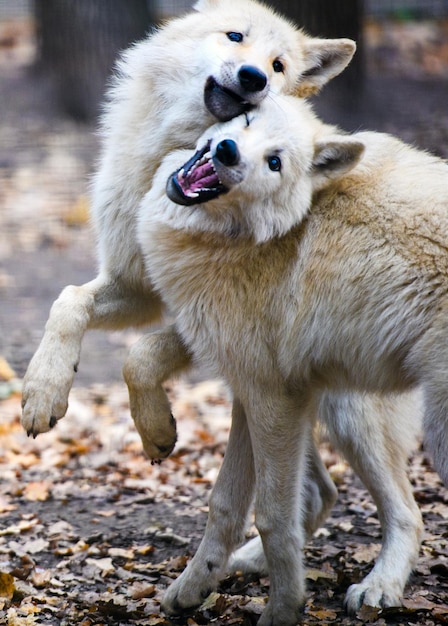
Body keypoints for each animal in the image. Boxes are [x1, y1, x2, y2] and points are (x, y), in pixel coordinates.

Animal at [137, 94, 448, 624]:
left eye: (275, 163)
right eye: (245, 120)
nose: (227, 151)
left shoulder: (274, 400)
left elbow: (272, 517)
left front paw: (282, 610)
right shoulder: (253, 389)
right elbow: (224, 505)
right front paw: (192, 589)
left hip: (381, 421)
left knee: (407, 512)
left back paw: (377, 589)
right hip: (344, 410)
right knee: (388, 508)